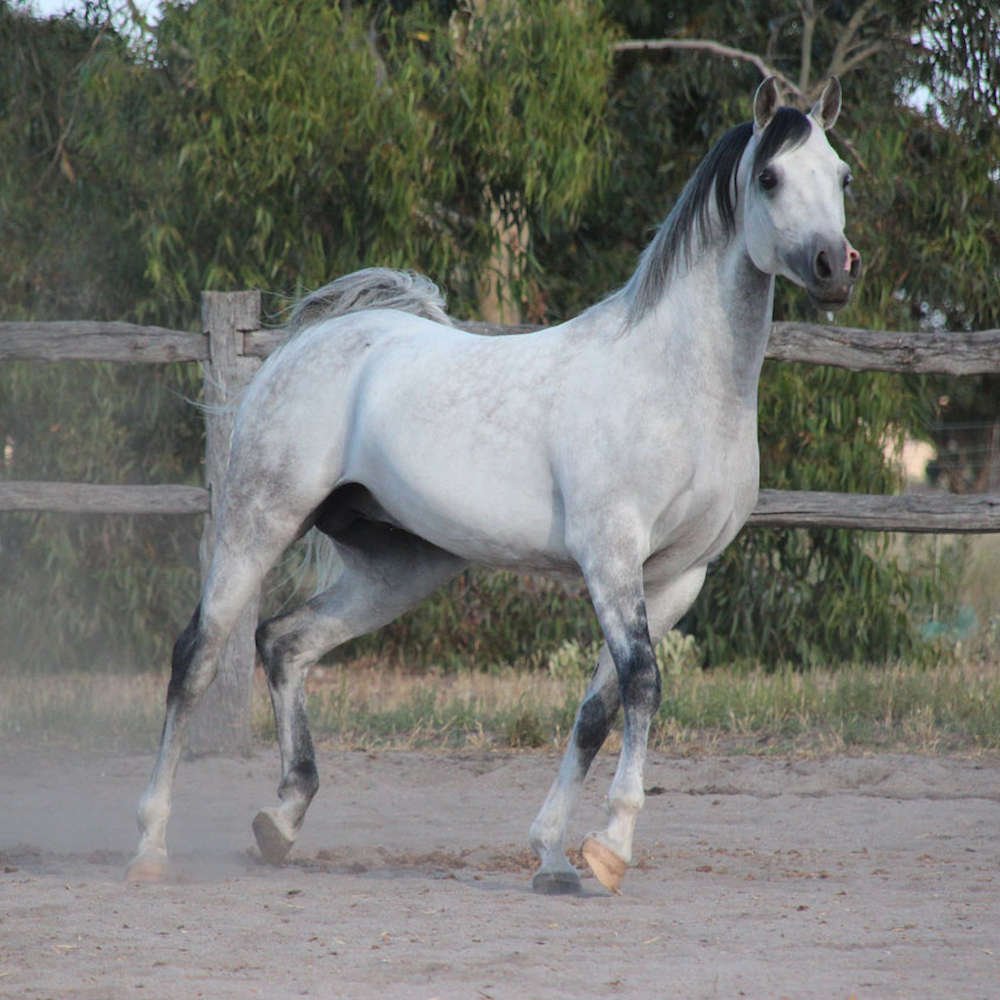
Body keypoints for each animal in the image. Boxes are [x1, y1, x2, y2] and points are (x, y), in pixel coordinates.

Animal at [127, 77, 860, 894]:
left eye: (841, 176)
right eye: (769, 176)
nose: (835, 267)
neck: (680, 386)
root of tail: (311, 342)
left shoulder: (677, 578)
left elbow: (597, 708)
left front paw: (554, 856)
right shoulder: (611, 557)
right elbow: (642, 684)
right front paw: (610, 847)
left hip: (404, 563)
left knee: (285, 642)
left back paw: (280, 821)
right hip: (258, 521)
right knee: (198, 655)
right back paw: (151, 845)